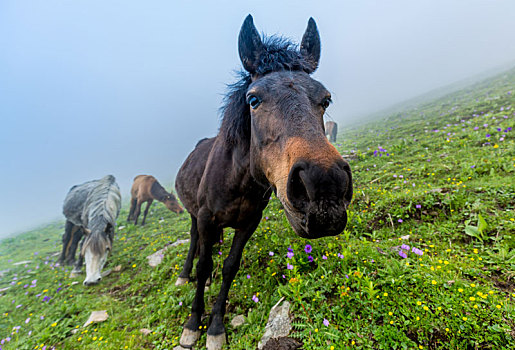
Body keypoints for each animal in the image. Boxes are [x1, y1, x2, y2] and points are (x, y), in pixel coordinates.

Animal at [175, 16, 352, 350]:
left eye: (326, 99)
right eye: (253, 100)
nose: (324, 188)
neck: (236, 180)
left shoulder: (249, 222)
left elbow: (230, 266)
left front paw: (215, 327)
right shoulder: (205, 217)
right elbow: (204, 263)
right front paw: (192, 325)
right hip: (193, 215)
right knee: (195, 243)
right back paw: (184, 274)